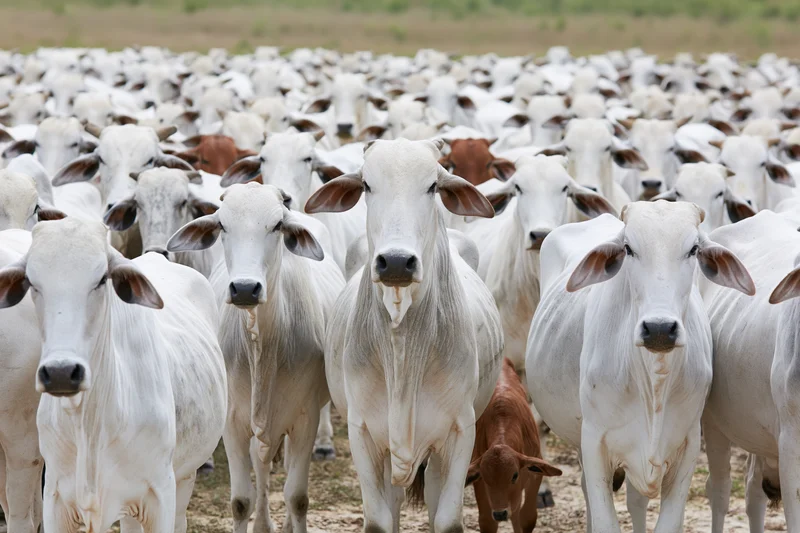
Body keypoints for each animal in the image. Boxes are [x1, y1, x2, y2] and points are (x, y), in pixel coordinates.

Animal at [0, 218, 227, 533]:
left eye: (101, 280)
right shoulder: (56, 499)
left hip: (184, 478)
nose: (60, 373)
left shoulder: (160, 495)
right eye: (32, 282)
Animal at [167, 183, 344, 533]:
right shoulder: (233, 422)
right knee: (261, 467)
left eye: (277, 225)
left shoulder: (305, 419)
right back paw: (263, 523)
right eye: (222, 225)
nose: (246, 289)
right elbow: (240, 501)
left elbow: (297, 497)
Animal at [304, 138, 504, 533]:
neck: (402, 345)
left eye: (433, 186)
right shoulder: (362, 434)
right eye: (367, 185)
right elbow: (379, 520)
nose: (396, 262)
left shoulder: (460, 434)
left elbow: (447, 519)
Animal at [466, 359, 563, 533]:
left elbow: (526, 518)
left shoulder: (534, 474)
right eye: (485, 476)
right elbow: (487, 521)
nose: (500, 513)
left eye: (514, 475)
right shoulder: (480, 481)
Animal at [527, 201, 754, 532]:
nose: (659, 329)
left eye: (693, 249)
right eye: (629, 248)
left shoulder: (687, 447)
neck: (654, 382)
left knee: (636, 501)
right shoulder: (594, 444)